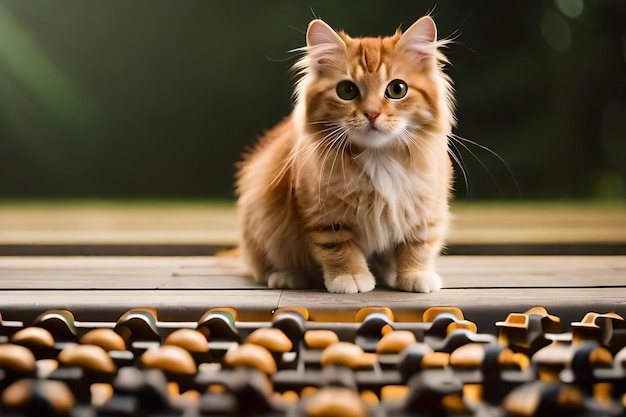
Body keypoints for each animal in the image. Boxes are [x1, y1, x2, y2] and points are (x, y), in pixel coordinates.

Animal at [234, 16, 454, 294]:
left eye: (397, 89)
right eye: (347, 91)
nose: (372, 113)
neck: (378, 156)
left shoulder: (425, 209)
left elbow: (418, 246)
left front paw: (415, 275)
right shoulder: (325, 214)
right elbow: (340, 247)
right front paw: (350, 276)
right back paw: (287, 276)